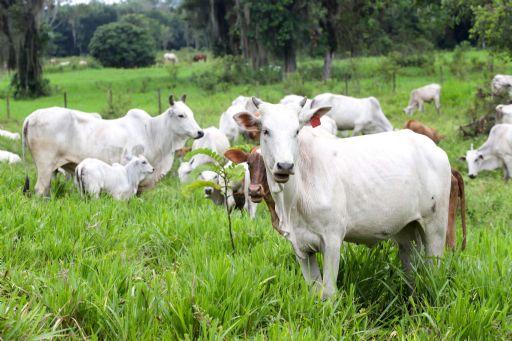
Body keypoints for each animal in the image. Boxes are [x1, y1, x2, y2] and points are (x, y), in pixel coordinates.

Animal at [23, 95, 204, 197]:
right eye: (181, 115)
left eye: (192, 114)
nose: (200, 132)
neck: (152, 132)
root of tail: (32, 116)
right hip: (45, 166)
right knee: (40, 190)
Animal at [234, 96, 450, 298]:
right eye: (265, 131)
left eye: (297, 131)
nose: (285, 165)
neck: (295, 198)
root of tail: (434, 148)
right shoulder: (300, 248)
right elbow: (314, 290)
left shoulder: (332, 240)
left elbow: (328, 292)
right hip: (406, 230)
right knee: (410, 269)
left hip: (435, 226)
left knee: (434, 269)